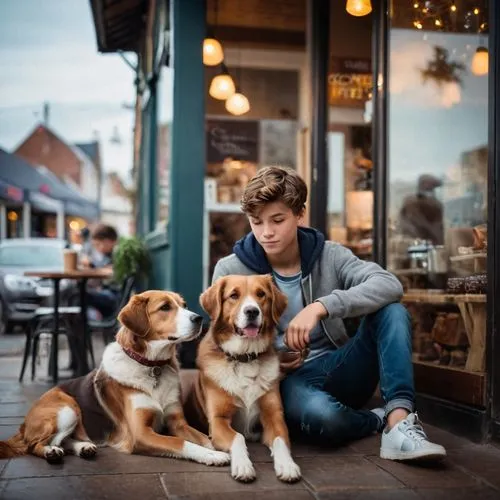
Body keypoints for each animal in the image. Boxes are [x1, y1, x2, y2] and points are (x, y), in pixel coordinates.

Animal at [0, 292, 230, 466]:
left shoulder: (178, 423)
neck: (151, 366)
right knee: (35, 445)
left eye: (184, 305)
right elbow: (180, 444)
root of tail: (24, 423)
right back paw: (51, 452)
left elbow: (204, 438)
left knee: (65, 441)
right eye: (165, 307)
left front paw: (221, 448)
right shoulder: (140, 434)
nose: (199, 319)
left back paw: (84, 447)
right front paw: (213, 455)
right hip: (67, 408)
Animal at [185, 276, 298, 482]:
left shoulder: (274, 415)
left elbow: (280, 440)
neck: (245, 357)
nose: (252, 311)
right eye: (233, 295)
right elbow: (238, 437)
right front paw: (243, 465)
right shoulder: (218, 420)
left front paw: (287, 465)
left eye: (261, 294)